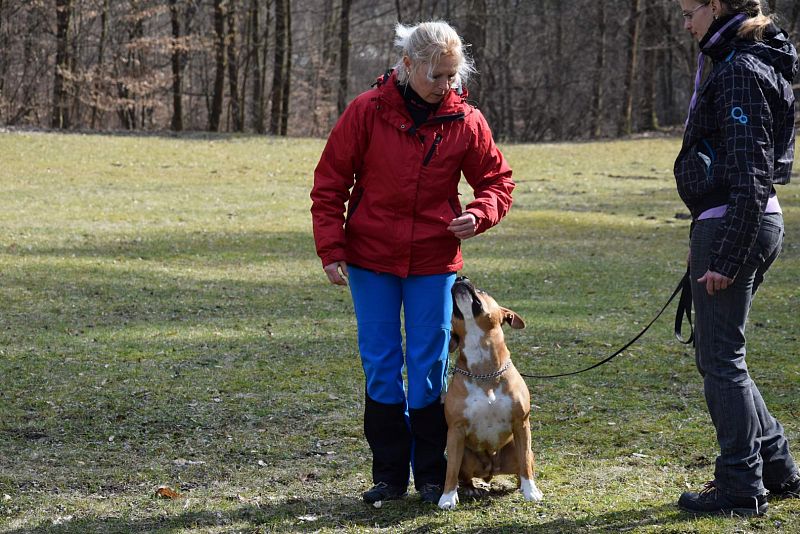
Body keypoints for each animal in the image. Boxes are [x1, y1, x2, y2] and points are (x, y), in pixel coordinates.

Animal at [438, 276, 544, 510]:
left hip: (517, 449)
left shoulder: (521, 423)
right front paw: (447, 497)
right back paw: (470, 488)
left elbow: (525, 463)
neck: (484, 370)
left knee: (523, 465)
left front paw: (531, 491)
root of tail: (491, 470)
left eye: (482, 290)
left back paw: (522, 486)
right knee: (462, 474)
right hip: (466, 454)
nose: (460, 277)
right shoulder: (455, 430)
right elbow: (450, 471)